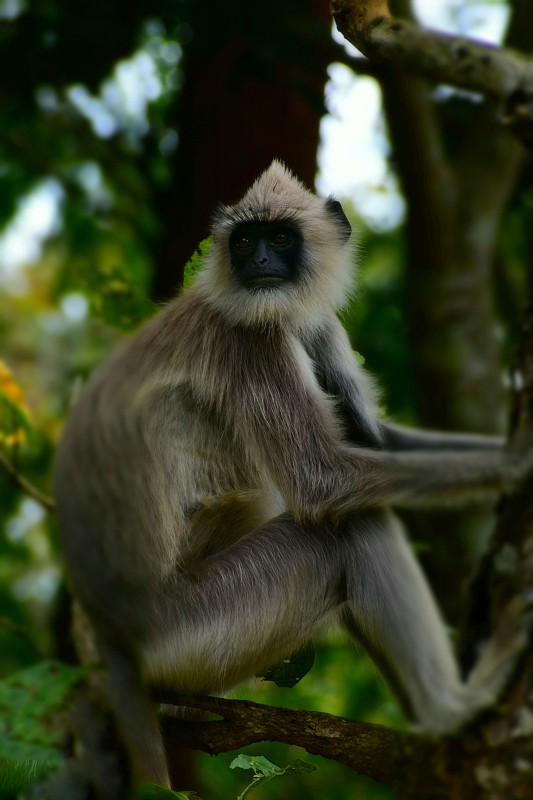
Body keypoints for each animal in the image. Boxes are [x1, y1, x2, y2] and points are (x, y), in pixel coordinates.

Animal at [55, 161, 532, 788]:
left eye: (279, 238)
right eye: (244, 241)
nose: (259, 260)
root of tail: (104, 639)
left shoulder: (317, 327)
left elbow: (376, 441)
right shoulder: (251, 339)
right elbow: (321, 482)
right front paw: (519, 459)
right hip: (189, 631)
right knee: (350, 528)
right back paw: (450, 709)